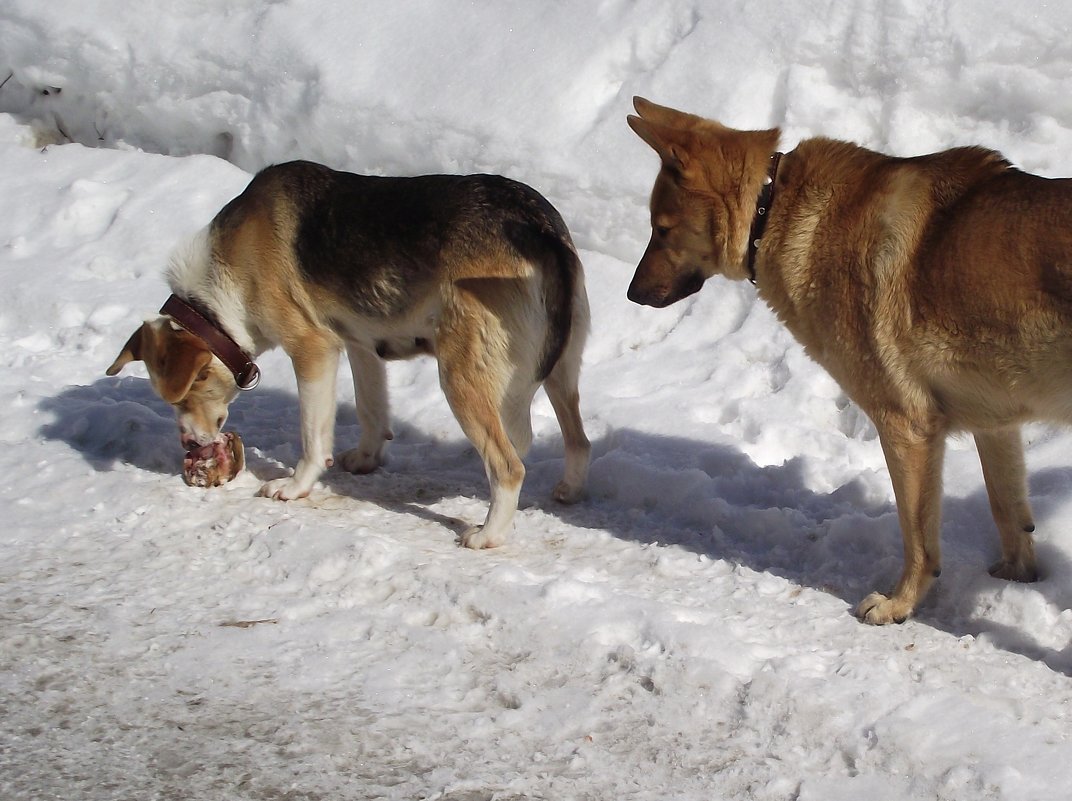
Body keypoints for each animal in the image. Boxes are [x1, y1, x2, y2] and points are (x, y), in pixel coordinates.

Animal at [107, 162, 591, 553]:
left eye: (183, 397)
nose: (189, 445)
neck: (216, 292)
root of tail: (538, 228)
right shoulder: (360, 346)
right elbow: (371, 411)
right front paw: (365, 460)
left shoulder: (314, 350)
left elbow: (312, 437)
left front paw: (295, 487)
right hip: (560, 373)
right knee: (578, 440)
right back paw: (569, 490)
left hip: (460, 378)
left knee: (508, 468)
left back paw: (488, 535)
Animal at [626, 97, 1072, 626]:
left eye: (661, 229)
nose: (630, 294)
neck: (771, 208)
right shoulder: (996, 424)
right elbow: (1010, 515)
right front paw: (1015, 578)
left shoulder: (907, 427)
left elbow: (919, 541)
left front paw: (900, 605)